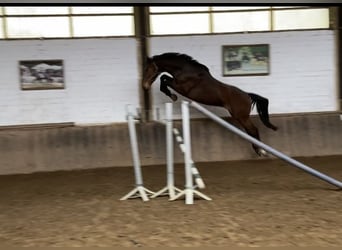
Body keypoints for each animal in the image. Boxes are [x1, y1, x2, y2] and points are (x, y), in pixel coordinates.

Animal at [142, 51, 278, 155]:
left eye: (148, 69)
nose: (144, 86)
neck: (185, 70)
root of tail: (247, 96)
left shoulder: (181, 87)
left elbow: (164, 78)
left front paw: (173, 96)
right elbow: (164, 78)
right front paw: (172, 95)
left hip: (241, 117)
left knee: (253, 130)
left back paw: (260, 151)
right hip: (240, 117)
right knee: (251, 131)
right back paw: (260, 150)